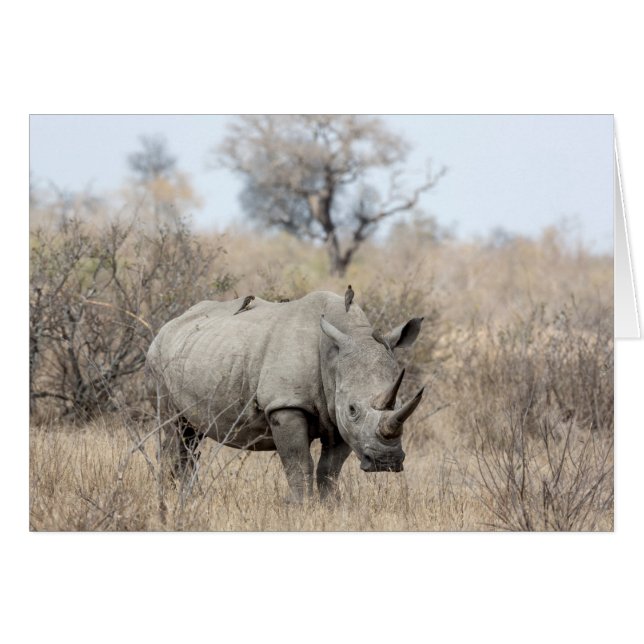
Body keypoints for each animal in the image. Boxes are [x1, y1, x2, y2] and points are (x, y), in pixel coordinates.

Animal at [146, 291, 425, 501]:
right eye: (353, 409)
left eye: (401, 403)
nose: (385, 462)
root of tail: (169, 324)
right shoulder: (286, 405)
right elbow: (299, 464)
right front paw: (303, 507)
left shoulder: (338, 417)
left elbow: (330, 470)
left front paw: (331, 507)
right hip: (158, 360)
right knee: (175, 430)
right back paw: (171, 499)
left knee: (191, 437)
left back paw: (186, 499)